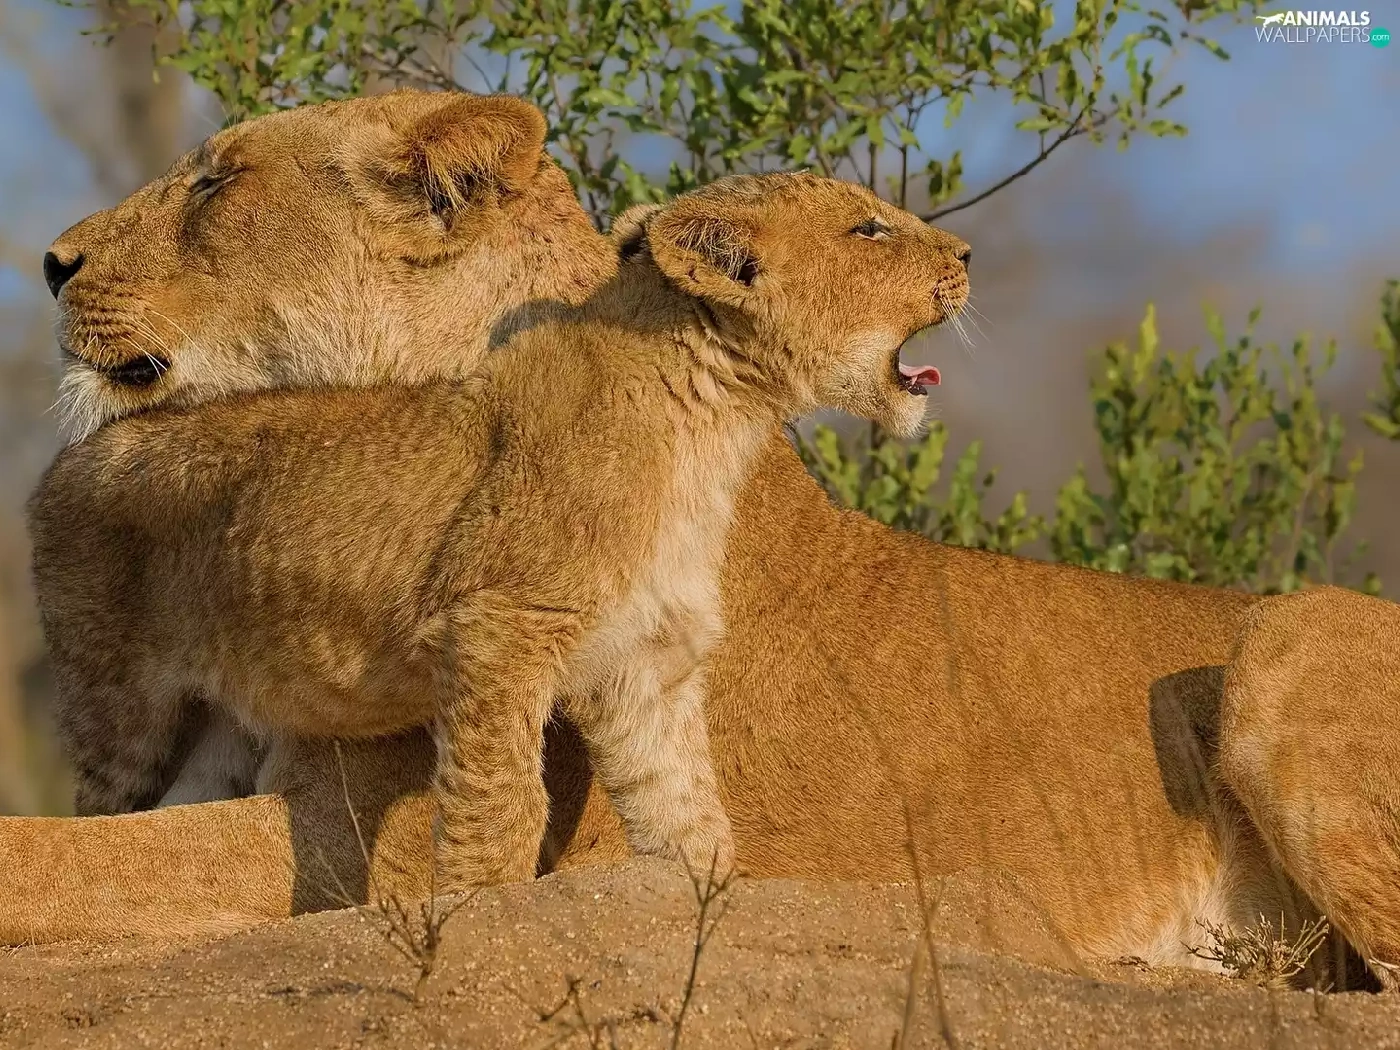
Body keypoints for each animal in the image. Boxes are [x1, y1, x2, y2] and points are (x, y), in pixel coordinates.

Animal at [32, 172, 970, 888]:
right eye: (870, 228)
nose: (966, 257)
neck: (717, 423)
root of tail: (79, 448)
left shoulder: (644, 668)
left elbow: (688, 811)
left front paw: (706, 912)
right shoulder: (495, 630)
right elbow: (505, 803)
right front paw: (477, 909)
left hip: (221, 726)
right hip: (121, 705)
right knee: (104, 812)